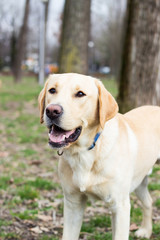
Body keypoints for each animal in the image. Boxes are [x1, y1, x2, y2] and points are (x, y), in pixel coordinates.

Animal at [38, 73, 159, 240]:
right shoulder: (72, 203)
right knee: (148, 201)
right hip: (139, 180)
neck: (85, 151)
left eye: (80, 94)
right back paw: (146, 230)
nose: (51, 110)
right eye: (52, 90)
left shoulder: (120, 206)